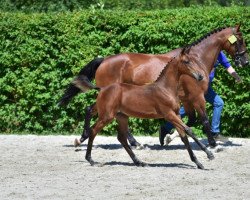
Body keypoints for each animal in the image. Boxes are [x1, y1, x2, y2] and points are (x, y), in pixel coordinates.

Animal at [59, 24, 248, 147]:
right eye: (240, 39)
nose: (245, 61)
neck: (196, 59)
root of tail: (104, 60)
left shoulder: (186, 99)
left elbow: (189, 119)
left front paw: (166, 135)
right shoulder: (197, 96)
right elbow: (204, 119)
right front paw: (212, 144)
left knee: (91, 110)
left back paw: (87, 138)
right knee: (93, 111)